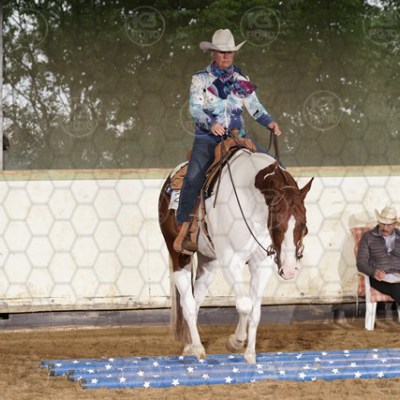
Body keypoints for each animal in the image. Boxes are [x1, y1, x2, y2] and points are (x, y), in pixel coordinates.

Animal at [158, 148, 313, 364]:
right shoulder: (231, 261)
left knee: (196, 300)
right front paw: (236, 342)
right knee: (187, 303)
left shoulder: (261, 263)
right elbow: (245, 304)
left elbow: (255, 311)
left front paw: (250, 354)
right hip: (179, 256)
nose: (290, 270)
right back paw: (198, 349)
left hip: (208, 262)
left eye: (303, 225)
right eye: (276, 223)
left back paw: (189, 345)